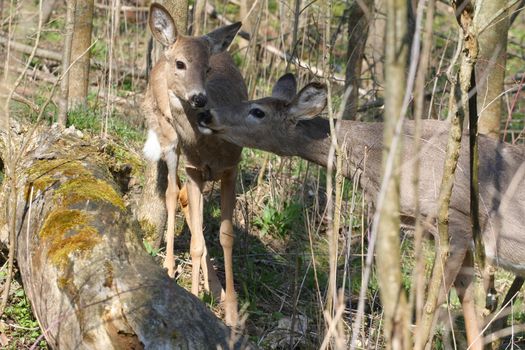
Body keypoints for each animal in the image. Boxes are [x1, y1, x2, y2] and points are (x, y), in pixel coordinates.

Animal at [141, 2, 248, 326]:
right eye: (180, 64)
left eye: (208, 68)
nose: (199, 98)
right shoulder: (193, 169)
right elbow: (197, 243)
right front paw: (197, 297)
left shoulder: (231, 168)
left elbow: (225, 237)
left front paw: (231, 310)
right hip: (167, 137)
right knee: (170, 194)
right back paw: (169, 266)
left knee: (183, 200)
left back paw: (215, 288)